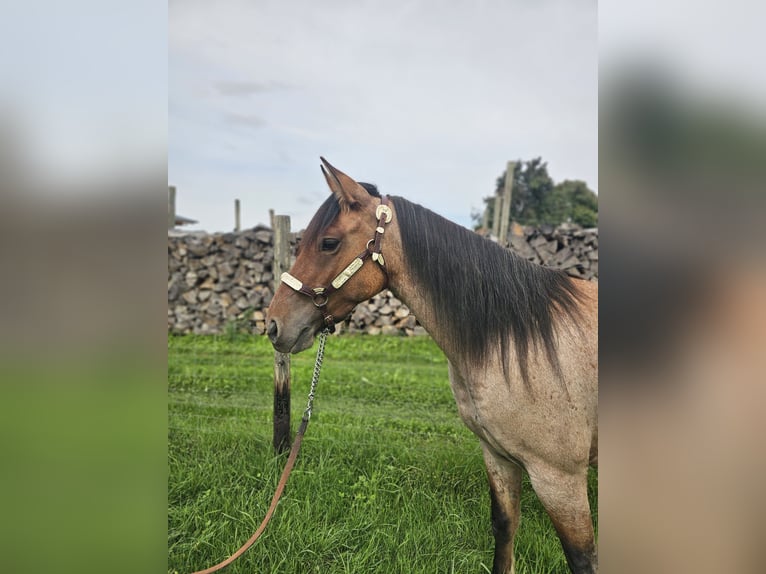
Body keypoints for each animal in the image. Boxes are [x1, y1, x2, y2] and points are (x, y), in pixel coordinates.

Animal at [266, 158, 598, 574]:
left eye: (328, 242)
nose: (274, 324)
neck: (519, 339)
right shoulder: (499, 457)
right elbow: (504, 529)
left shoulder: (559, 479)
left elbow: (582, 558)